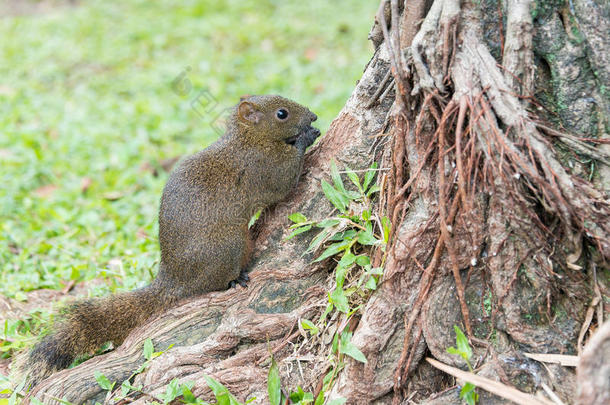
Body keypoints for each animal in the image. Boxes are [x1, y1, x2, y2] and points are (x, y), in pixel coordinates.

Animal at [21, 94, 320, 386]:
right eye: (281, 113)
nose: (314, 116)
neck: (249, 138)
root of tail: (173, 280)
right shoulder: (264, 167)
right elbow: (284, 183)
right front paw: (307, 136)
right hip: (231, 245)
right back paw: (234, 279)